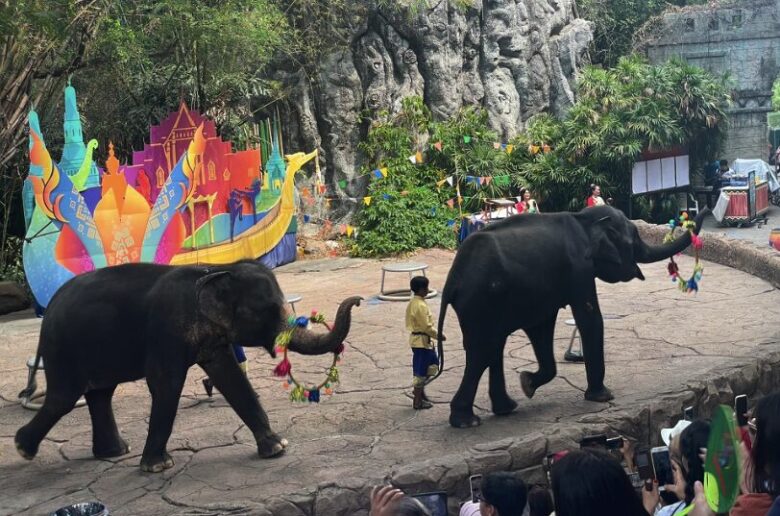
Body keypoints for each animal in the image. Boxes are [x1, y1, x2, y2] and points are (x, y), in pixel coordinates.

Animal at [15, 262, 362, 472]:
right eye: (268, 310)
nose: (357, 299)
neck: (216, 270)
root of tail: (49, 307)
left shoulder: (213, 340)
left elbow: (230, 376)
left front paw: (277, 448)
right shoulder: (166, 333)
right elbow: (166, 383)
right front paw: (158, 467)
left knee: (100, 393)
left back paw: (114, 452)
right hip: (64, 349)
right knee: (65, 397)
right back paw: (23, 448)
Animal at [438, 206, 708, 428]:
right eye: (634, 240)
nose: (705, 206)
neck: (584, 219)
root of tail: (453, 280)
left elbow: (541, 327)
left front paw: (527, 383)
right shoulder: (580, 268)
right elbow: (590, 318)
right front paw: (603, 397)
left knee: (493, 346)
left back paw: (506, 408)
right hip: (481, 301)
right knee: (483, 350)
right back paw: (467, 421)